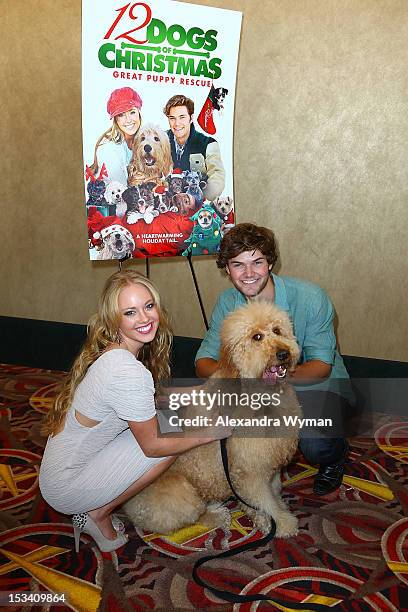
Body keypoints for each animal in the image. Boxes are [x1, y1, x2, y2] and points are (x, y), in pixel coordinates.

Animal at [124, 300, 302, 536]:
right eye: (257, 337)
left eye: (277, 330)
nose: (283, 353)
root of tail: (126, 506)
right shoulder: (248, 473)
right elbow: (266, 502)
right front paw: (281, 523)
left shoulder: (268, 467)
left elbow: (274, 492)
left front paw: (273, 514)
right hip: (183, 495)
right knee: (188, 520)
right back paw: (217, 515)